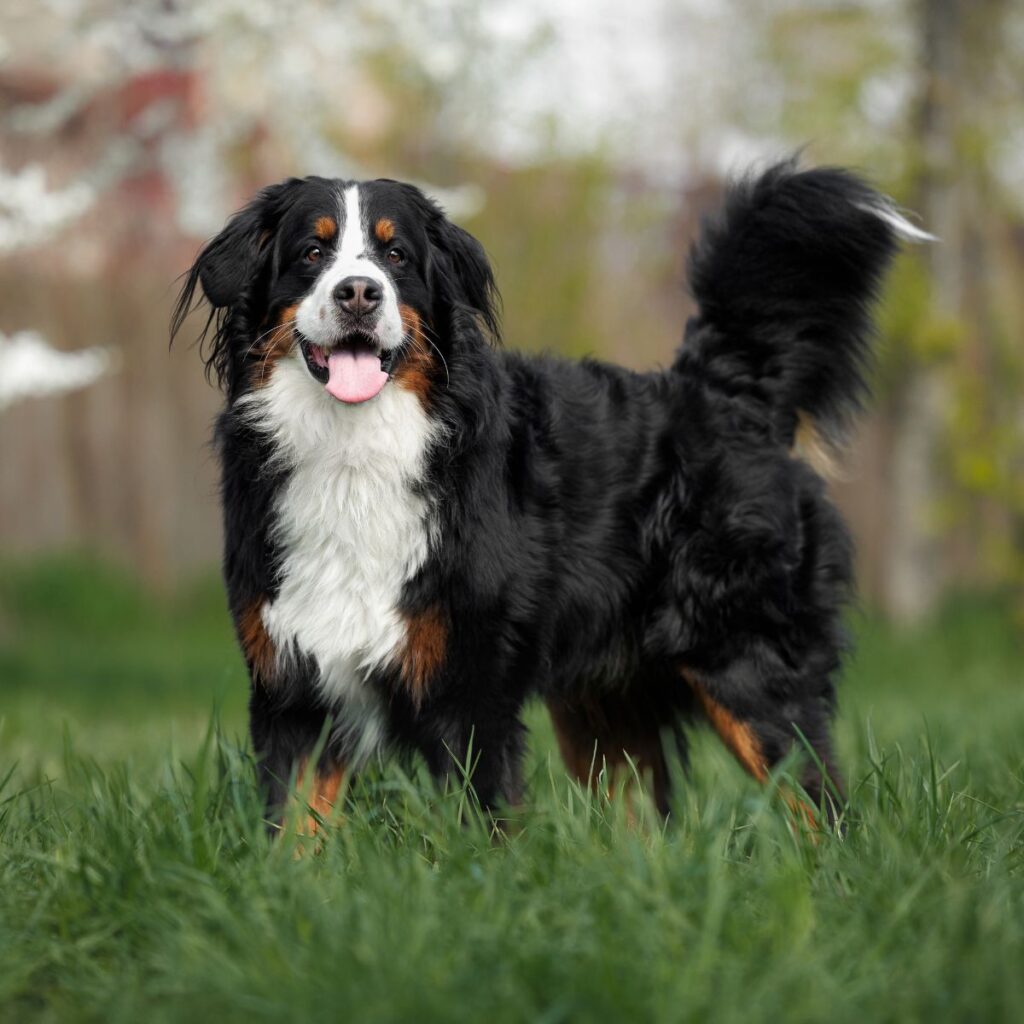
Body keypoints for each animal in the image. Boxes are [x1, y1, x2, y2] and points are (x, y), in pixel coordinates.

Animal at [172, 159, 925, 831]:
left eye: (397, 256)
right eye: (311, 251)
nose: (359, 292)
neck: (354, 453)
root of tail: (723, 393)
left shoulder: (470, 693)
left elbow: (482, 837)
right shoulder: (294, 687)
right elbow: (288, 833)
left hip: (747, 668)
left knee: (820, 808)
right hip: (606, 708)